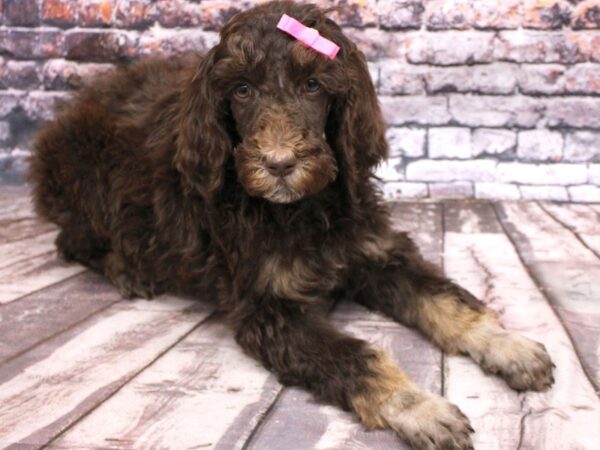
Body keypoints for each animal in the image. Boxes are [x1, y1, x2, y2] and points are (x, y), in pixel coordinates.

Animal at [27, 1, 552, 448]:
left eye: (314, 86)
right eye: (241, 90)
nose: (279, 164)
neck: (302, 208)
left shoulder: (374, 249)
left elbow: (445, 298)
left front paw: (506, 344)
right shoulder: (268, 307)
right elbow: (356, 355)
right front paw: (418, 407)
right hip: (88, 181)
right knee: (73, 238)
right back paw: (128, 269)